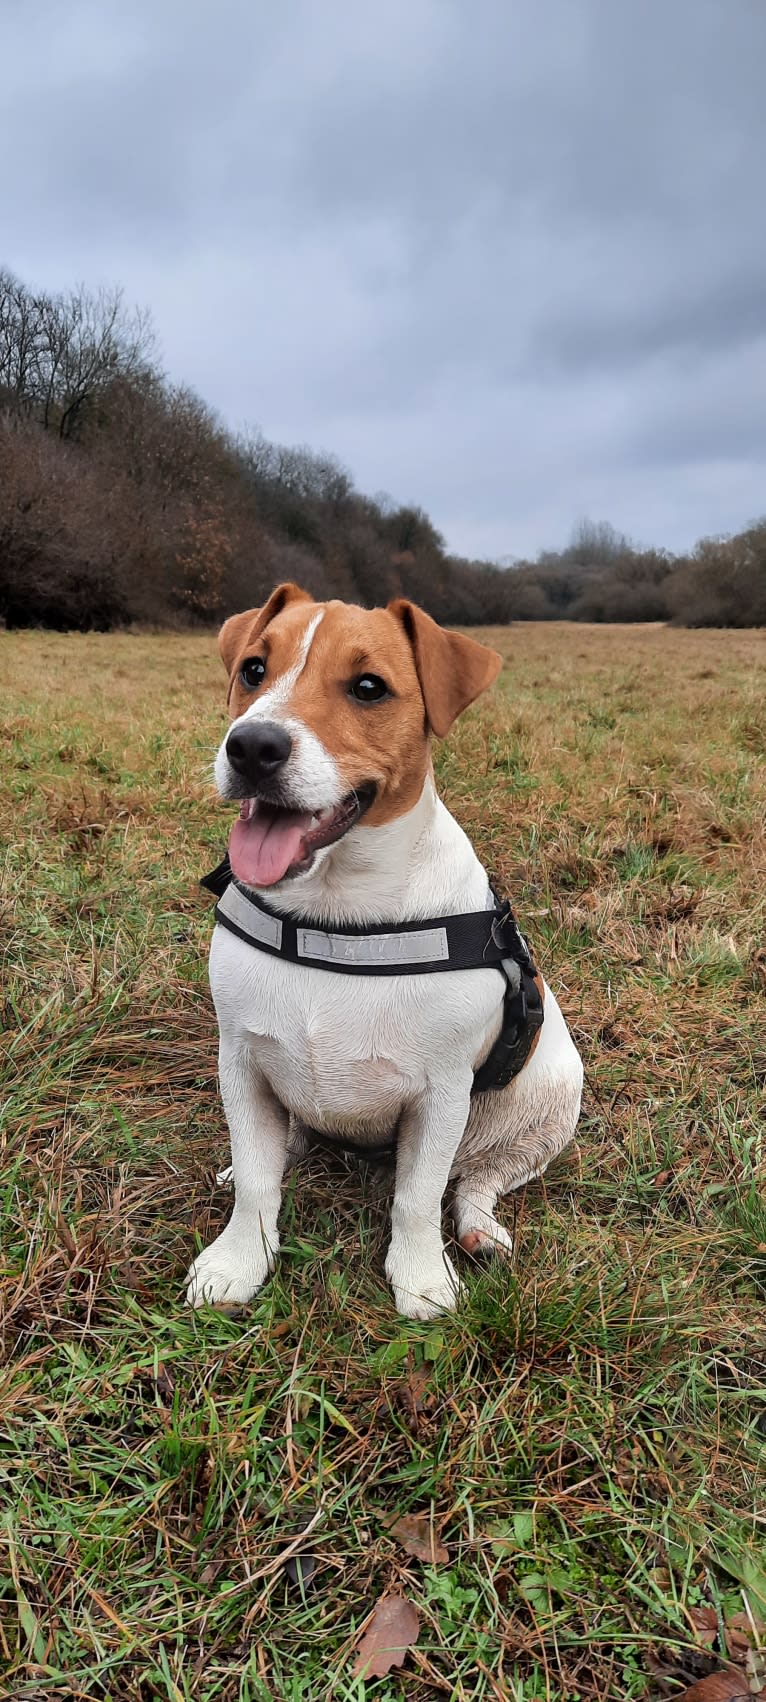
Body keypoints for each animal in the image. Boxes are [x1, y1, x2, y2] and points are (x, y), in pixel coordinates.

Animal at [187, 585, 582, 1313]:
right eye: (254, 670)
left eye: (368, 687)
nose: (250, 745)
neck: (335, 909)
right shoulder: (243, 1061)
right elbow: (258, 1184)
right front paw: (239, 1260)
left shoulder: (439, 1094)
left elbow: (418, 1198)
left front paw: (422, 1277)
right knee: (283, 1146)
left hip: (543, 1114)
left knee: (476, 1181)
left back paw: (480, 1231)